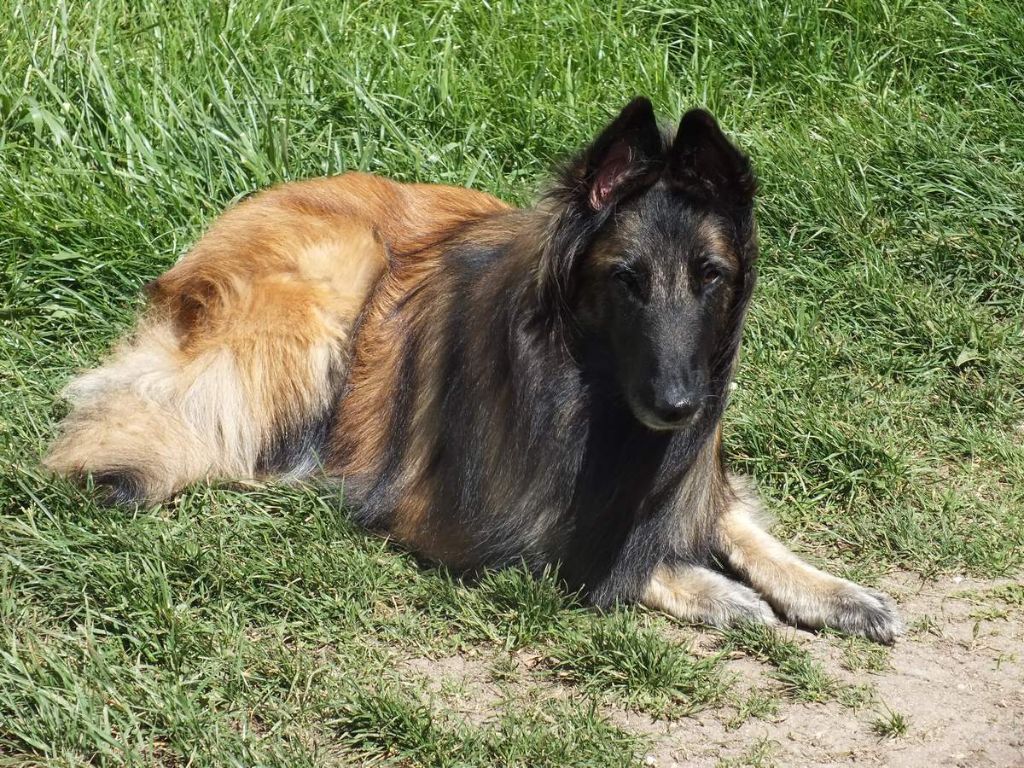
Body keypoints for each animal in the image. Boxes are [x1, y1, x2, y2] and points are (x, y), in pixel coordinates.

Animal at [44, 99, 901, 647]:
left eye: (711, 276)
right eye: (626, 279)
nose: (679, 405)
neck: (587, 391)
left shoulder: (686, 476)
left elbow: (739, 528)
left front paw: (832, 591)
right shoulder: (467, 523)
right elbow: (590, 552)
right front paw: (712, 590)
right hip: (332, 282)